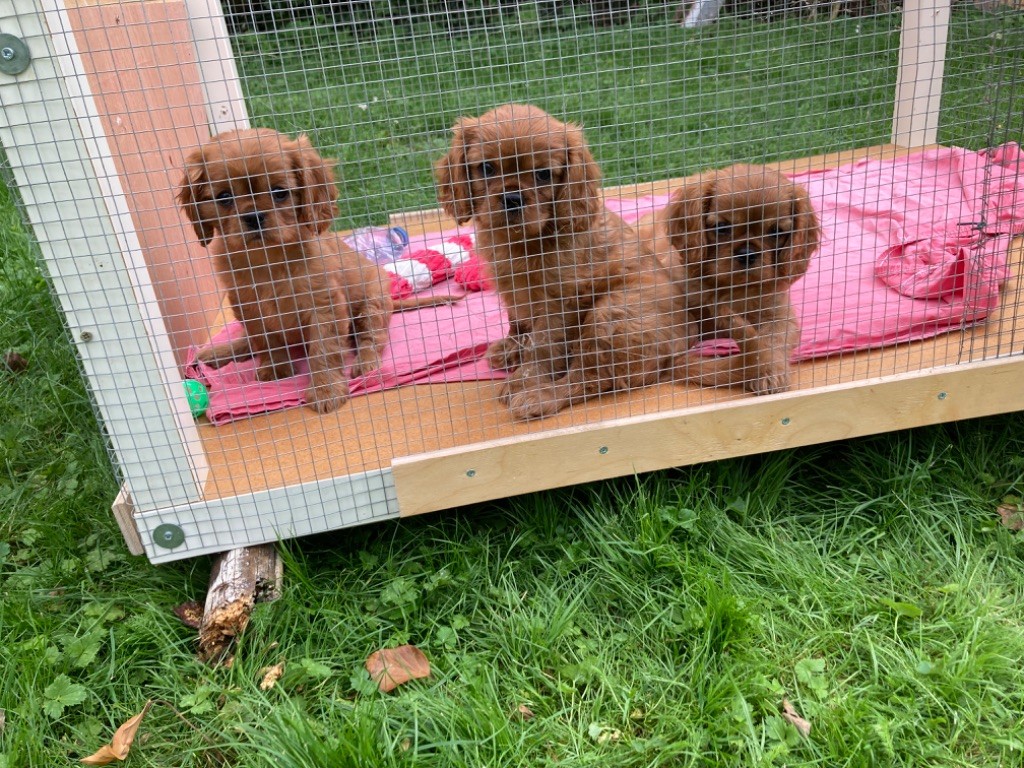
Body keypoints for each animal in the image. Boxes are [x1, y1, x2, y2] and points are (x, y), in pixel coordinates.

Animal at [179, 128, 440, 415]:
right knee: (249, 340)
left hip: (372, 303)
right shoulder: (248, 307)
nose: (254, 216)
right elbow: (264, 340)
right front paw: (275, 369)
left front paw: (326, 390)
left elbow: (323, 349)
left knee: (371, 337)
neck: (268, 258)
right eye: (224, 197)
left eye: (279, 192)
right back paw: (218, 353)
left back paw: (366, 364)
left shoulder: (324, 305)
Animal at [432, 102, 704, 421]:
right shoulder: (514, 290)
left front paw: (524, 379)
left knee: (589, 378)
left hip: (609, 313)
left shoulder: (559, 301)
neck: (524, 240)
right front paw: (512, 347)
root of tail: (688, 341)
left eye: (543, 174)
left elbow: (543, 345)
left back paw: (540, 397)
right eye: (486, 168)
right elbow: (518, 323)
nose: (512, 198)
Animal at [643, 164, 819, 393]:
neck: (732, 287)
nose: (747, 253)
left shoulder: (779, 315)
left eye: (775, 231)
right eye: (721, 227)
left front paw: (769, 371)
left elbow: (773, 341)